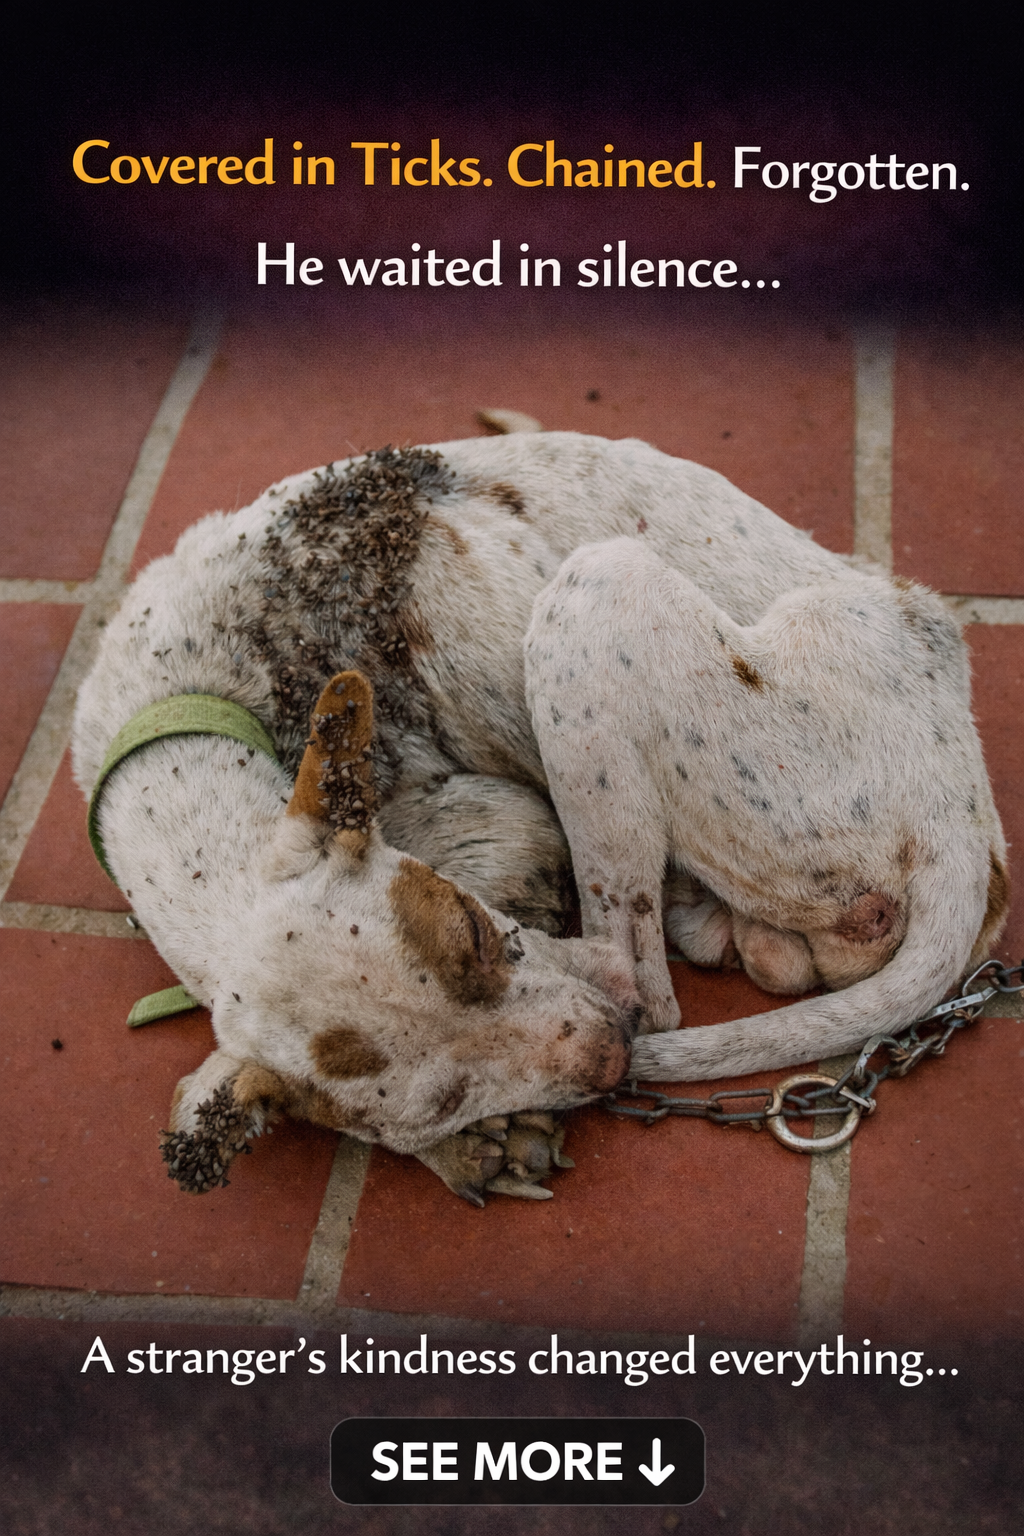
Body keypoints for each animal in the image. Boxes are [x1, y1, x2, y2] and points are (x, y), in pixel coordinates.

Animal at [73, 431, 1008, 1203]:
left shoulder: (505, 831)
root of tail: (962, 809)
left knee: (650, 981)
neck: (183, 706)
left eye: (476, 935)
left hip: (596, 596)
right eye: (440, 1104)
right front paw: (467, 1146)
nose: (609, 1057)